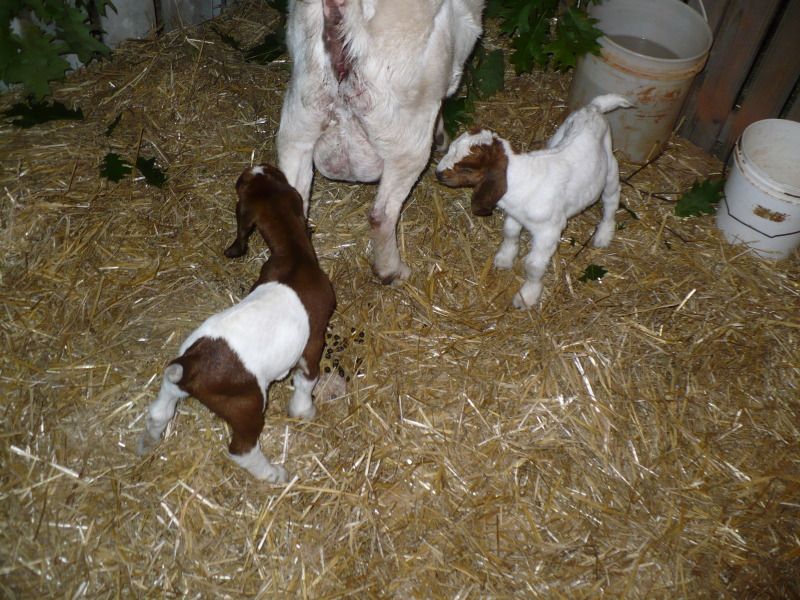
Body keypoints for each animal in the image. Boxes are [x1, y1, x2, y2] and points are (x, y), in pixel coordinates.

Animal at [137, 165, 336, 482]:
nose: (257, 167)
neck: (293, 256)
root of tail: (192, 365)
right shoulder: (314, 338)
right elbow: (307, 378)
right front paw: (303, 410)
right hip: (248, 407)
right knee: (241, 448)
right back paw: (274, 475)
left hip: (173, 382)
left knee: (159, 412)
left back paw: (148, 441)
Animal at [435, 94, 633, 309]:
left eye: (467, 168)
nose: (437, 173)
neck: (520, 179)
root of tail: (594, 108)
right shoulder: (515, 215)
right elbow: (510, 233)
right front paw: (504, 259)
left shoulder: (549, 232)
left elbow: (533, 266)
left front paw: (526, 297)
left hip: (610, 170)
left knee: (611, 200)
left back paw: (604, 235)